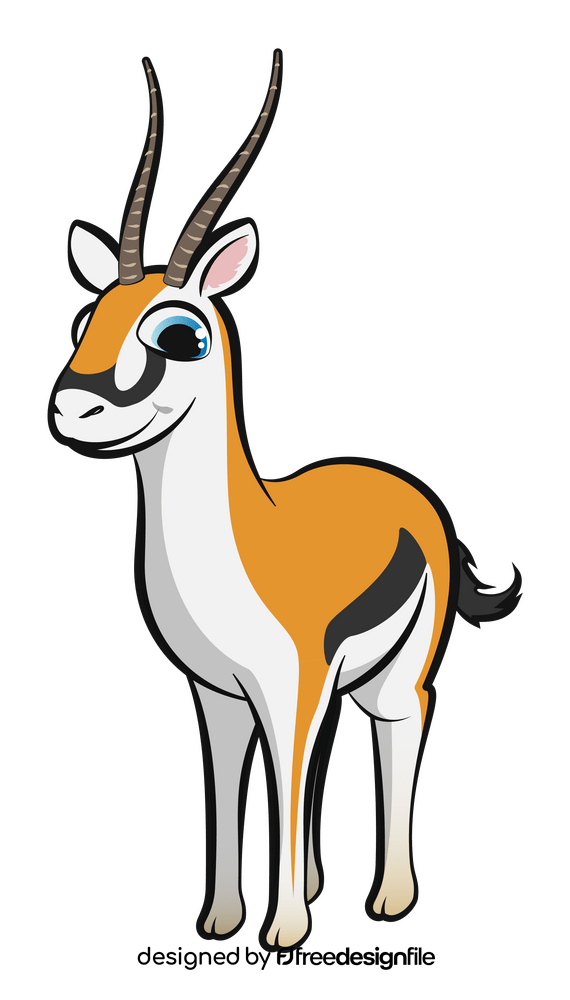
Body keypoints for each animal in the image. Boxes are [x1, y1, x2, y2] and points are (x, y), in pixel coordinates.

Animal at [47, 48, 524, 951]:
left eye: (179, 334)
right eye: (84, 319)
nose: (71, 409)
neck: (243, 543)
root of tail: (403, 486)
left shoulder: (284, 687)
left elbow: (287, 782)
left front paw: (286, 928)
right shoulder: (219, 695)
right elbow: (231, 787)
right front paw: (222, 920)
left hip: (390, 675)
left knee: (401, 721)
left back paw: (389, 898)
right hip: (327, 686)